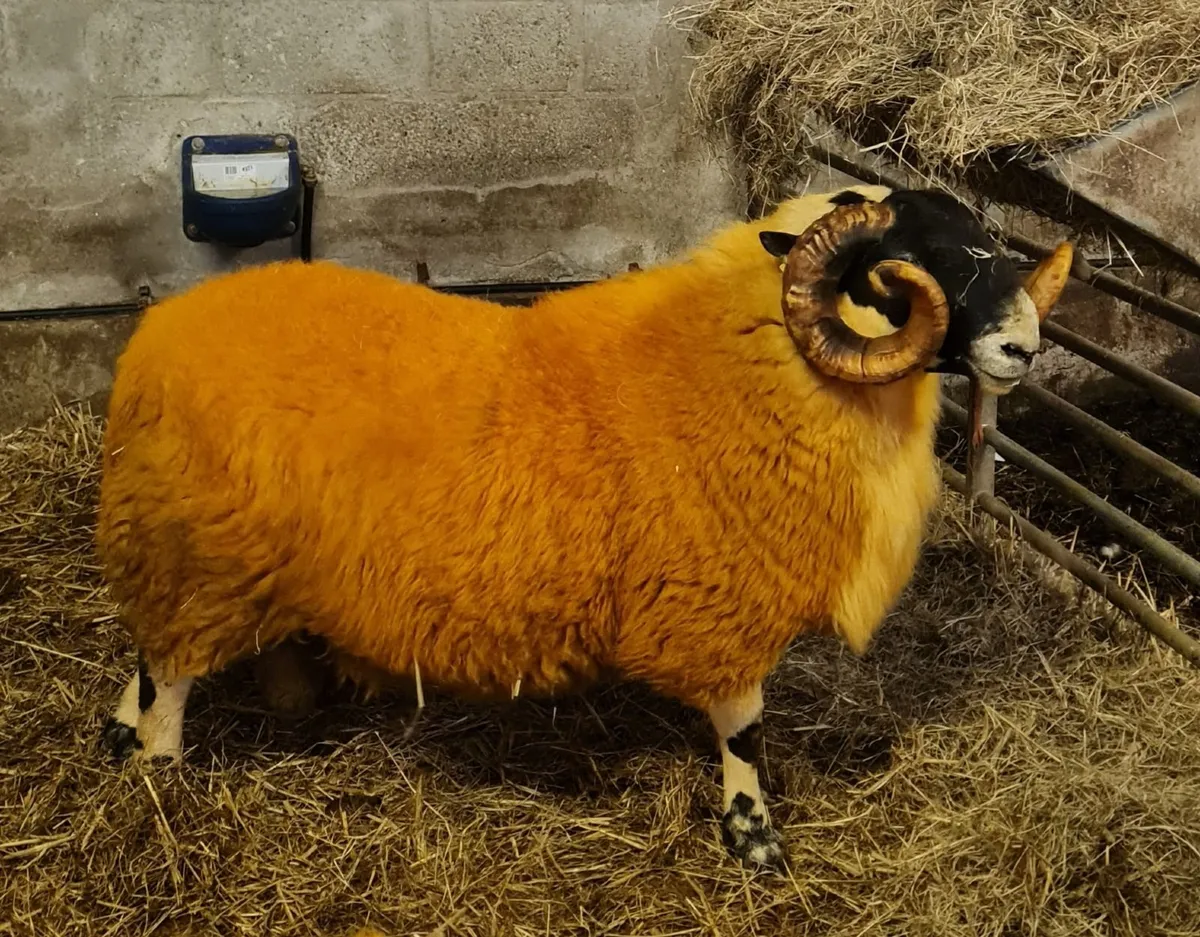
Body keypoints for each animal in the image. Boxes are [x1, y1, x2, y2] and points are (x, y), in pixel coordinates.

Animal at [96, 184, 1073, 870]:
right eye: (902, 266)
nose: (1023, 347)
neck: (751, 363)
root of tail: (156, 331)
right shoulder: (720, 605)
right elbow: (746, 729)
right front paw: (755, 838)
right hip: (197, 553)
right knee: (170, 673)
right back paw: (159, 778)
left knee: (149, 655)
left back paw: (126, 728)